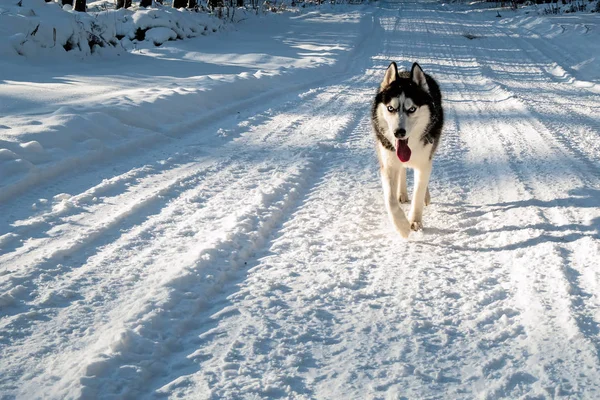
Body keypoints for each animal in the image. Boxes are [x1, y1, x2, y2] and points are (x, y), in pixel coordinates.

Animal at [370, 62, 446, 238]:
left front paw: (415, 221)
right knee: (402, 171)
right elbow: (390, 200)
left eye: (412, 109)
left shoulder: (424, 163)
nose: (399, 132)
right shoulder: (388, 164)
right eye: (390, 108)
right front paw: (402, 227)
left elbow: (418, 192)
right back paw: (402, 194)